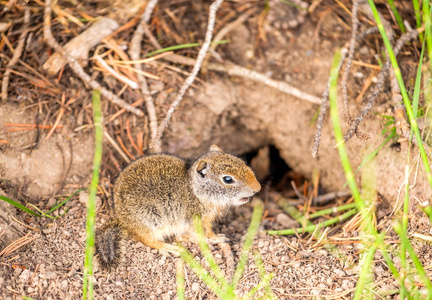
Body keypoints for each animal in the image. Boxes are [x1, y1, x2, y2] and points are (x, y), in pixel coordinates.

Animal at [96, 144, 262, 268]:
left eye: (242, 162)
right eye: (228, 179)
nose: (258, 188)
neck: (194, 189)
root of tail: (120, 219)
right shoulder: (198, 220)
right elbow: (204, 234)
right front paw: (214, 239)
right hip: (151, 221)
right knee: (147, 239)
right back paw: (168, 247)